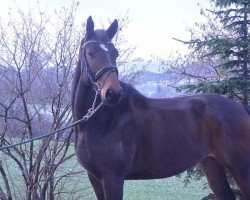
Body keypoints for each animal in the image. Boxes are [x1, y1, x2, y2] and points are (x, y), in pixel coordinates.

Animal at [72, 16, 250, 199]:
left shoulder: (112, 178)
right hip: (212, 165)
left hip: (241, 168)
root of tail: (241, 108)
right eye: (91, 52)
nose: (113, 93)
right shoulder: (95, 178)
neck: (97, 122)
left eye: (115, 53)